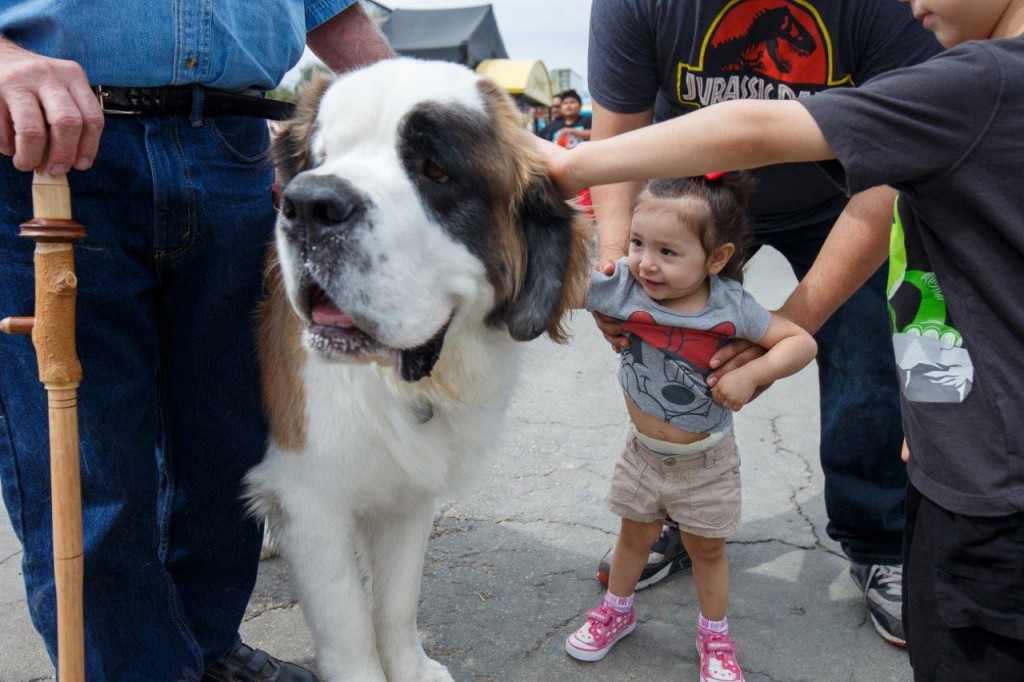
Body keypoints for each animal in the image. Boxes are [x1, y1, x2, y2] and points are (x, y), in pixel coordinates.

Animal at [244, 58, 591, 681]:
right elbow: (348, 621)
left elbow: (397, 601)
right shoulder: (312, 499)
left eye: (435, 170)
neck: (405, 381)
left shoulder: (409, 496)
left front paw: (410, 667)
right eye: (319, 160)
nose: (308, 205)